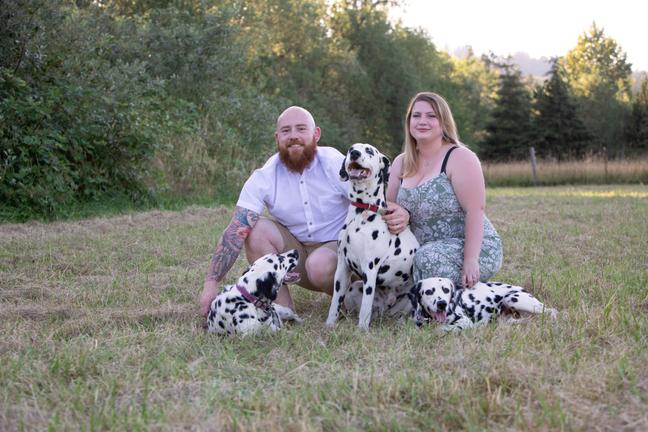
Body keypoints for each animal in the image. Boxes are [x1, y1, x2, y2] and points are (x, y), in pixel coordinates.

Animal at [326, 143, 419, 330]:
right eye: (351, 149)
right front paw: (329, 324)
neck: (361, 212)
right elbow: (335, 302)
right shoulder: (342, 268)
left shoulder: (370, 269)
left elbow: (365, 308)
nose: (355, 153)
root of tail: (386, 308)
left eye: (369, 150)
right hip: (353, 288)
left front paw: (361, 330)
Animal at [410, 277, 558, 332]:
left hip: (513, 299)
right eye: (429, 291)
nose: (442, 304)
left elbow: (442, 328)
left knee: (551, 311)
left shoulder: (465, 322)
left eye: (446, 290)